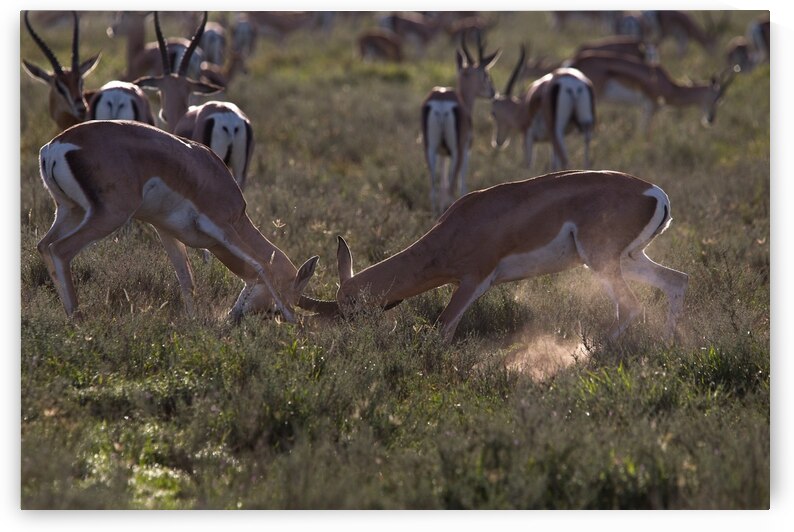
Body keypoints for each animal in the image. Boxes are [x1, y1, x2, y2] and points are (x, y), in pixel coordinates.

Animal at [36, 120, 319, 323]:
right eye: (291, 295)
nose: (234, 317)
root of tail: (56, 146)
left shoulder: (165, 230)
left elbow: (186, 278)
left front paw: (193, 322)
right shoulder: (222, 226)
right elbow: (261, 264)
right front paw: (294, 320)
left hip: (70, 211)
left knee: (44, 246)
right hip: (109, 215)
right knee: (60, 249)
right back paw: (78, 319)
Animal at [317, 171, 688, 342]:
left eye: (349, 305)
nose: (351, 340)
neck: (459, 226)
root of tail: (656, 193)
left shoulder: (474, 280)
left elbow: (442, 326)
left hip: (602, 262)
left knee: (631, 305)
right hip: (627, 259)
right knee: (676, 281)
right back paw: (667, 344)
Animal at [422, 31, 501, 216]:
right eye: (486, 74)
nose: (493, 92)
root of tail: (442, 102)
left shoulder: (443, 154)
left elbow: (442, 182)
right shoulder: (466, 149)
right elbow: (462, 184)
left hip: (430, 148)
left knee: (433, 189)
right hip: (456, 151)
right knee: (451, 187)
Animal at [566, 51, 737, 131]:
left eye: (721, 100)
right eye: (716, 98)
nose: (711, 119)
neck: (669, 86)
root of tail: (574, 62)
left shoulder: (645, 108)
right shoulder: (650, 107)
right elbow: (644, 134)